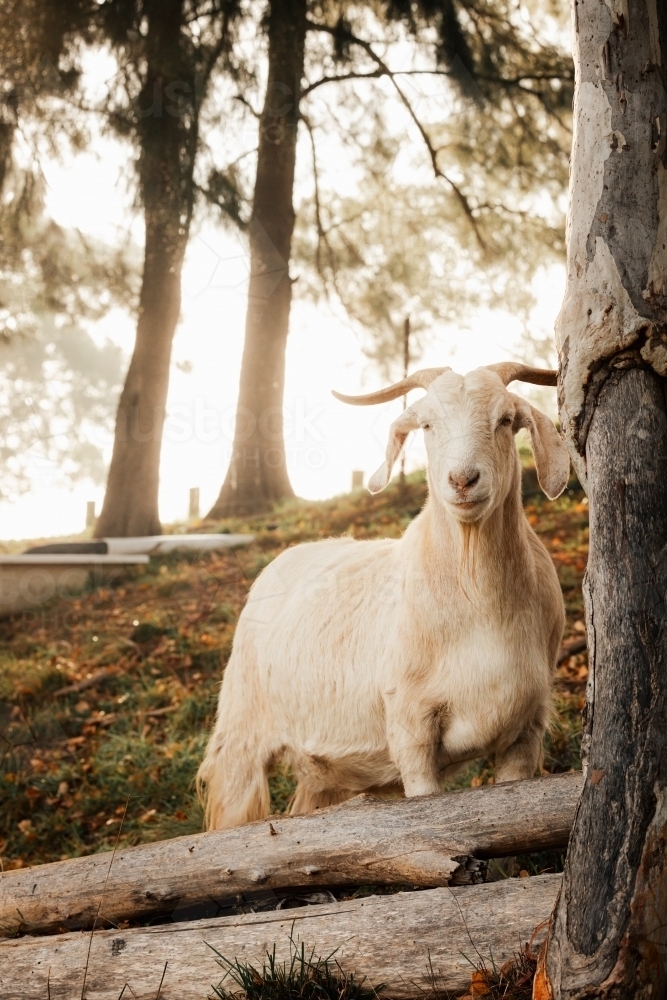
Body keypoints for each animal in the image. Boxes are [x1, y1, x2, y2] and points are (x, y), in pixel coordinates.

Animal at [197, 362, 569, 829]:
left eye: (505, 420)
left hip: (324, 771)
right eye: (426, 424)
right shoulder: (411, 727)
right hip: (241, 735)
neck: (479, 605)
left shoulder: (525, 729)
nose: (463, 480)